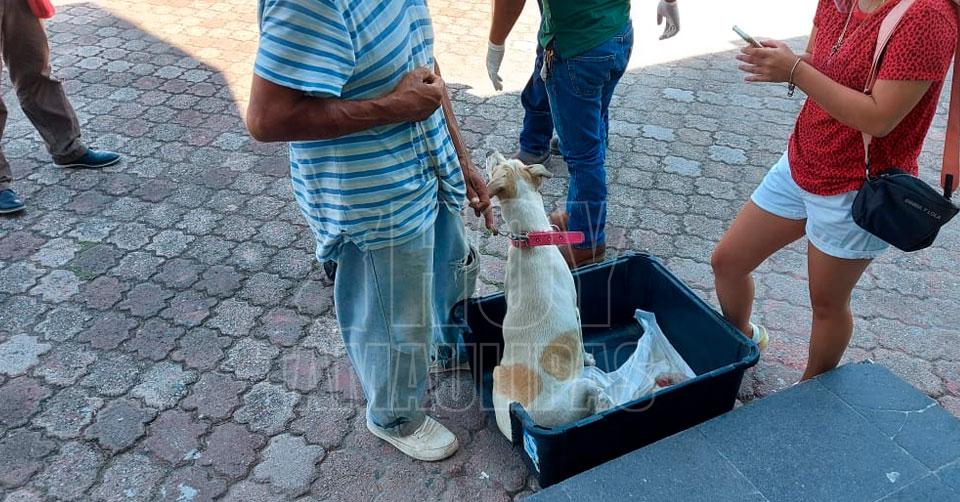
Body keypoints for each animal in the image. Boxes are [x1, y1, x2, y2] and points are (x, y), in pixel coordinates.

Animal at [485, 151, 611, 441]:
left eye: (502, 163)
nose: (489, 152)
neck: (530, 239)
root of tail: (524, 417)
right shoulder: (576, 310)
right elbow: (582, 340)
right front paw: (587, 358)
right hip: (581, 388)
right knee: (596, 396)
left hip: (497, 372)